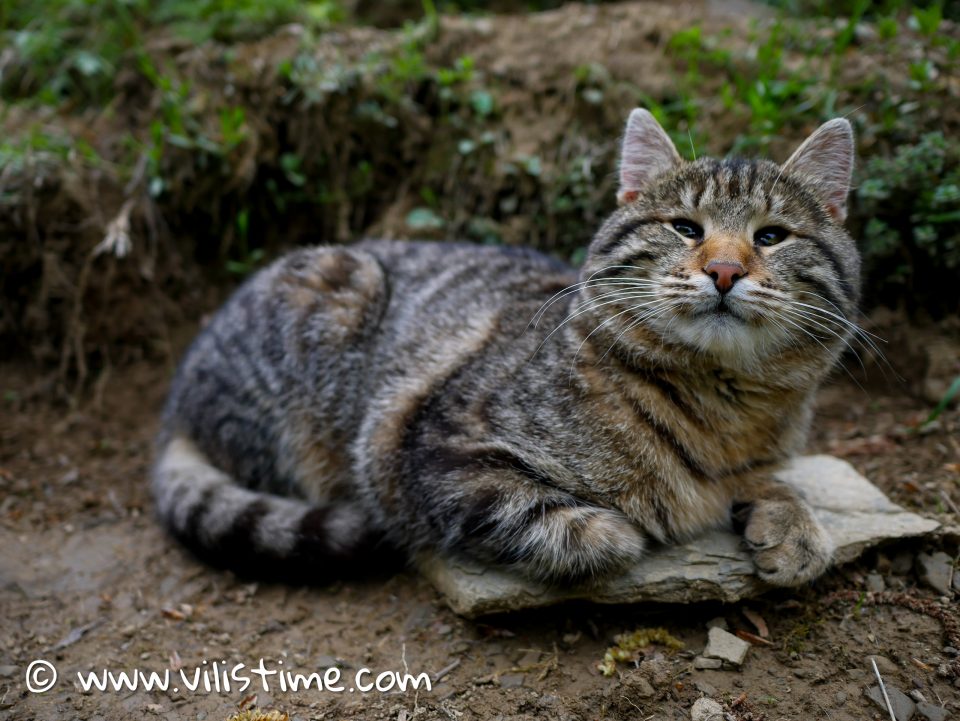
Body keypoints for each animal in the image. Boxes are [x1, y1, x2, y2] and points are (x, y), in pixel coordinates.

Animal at [154, 109, 860, 588]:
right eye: (686, 228)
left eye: (771, 236)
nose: (723, 270)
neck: (721, 408)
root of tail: (177, 400)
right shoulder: (431, 445)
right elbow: (583, 530)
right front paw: (624, 525)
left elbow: (779, 483)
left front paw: (793, 524)